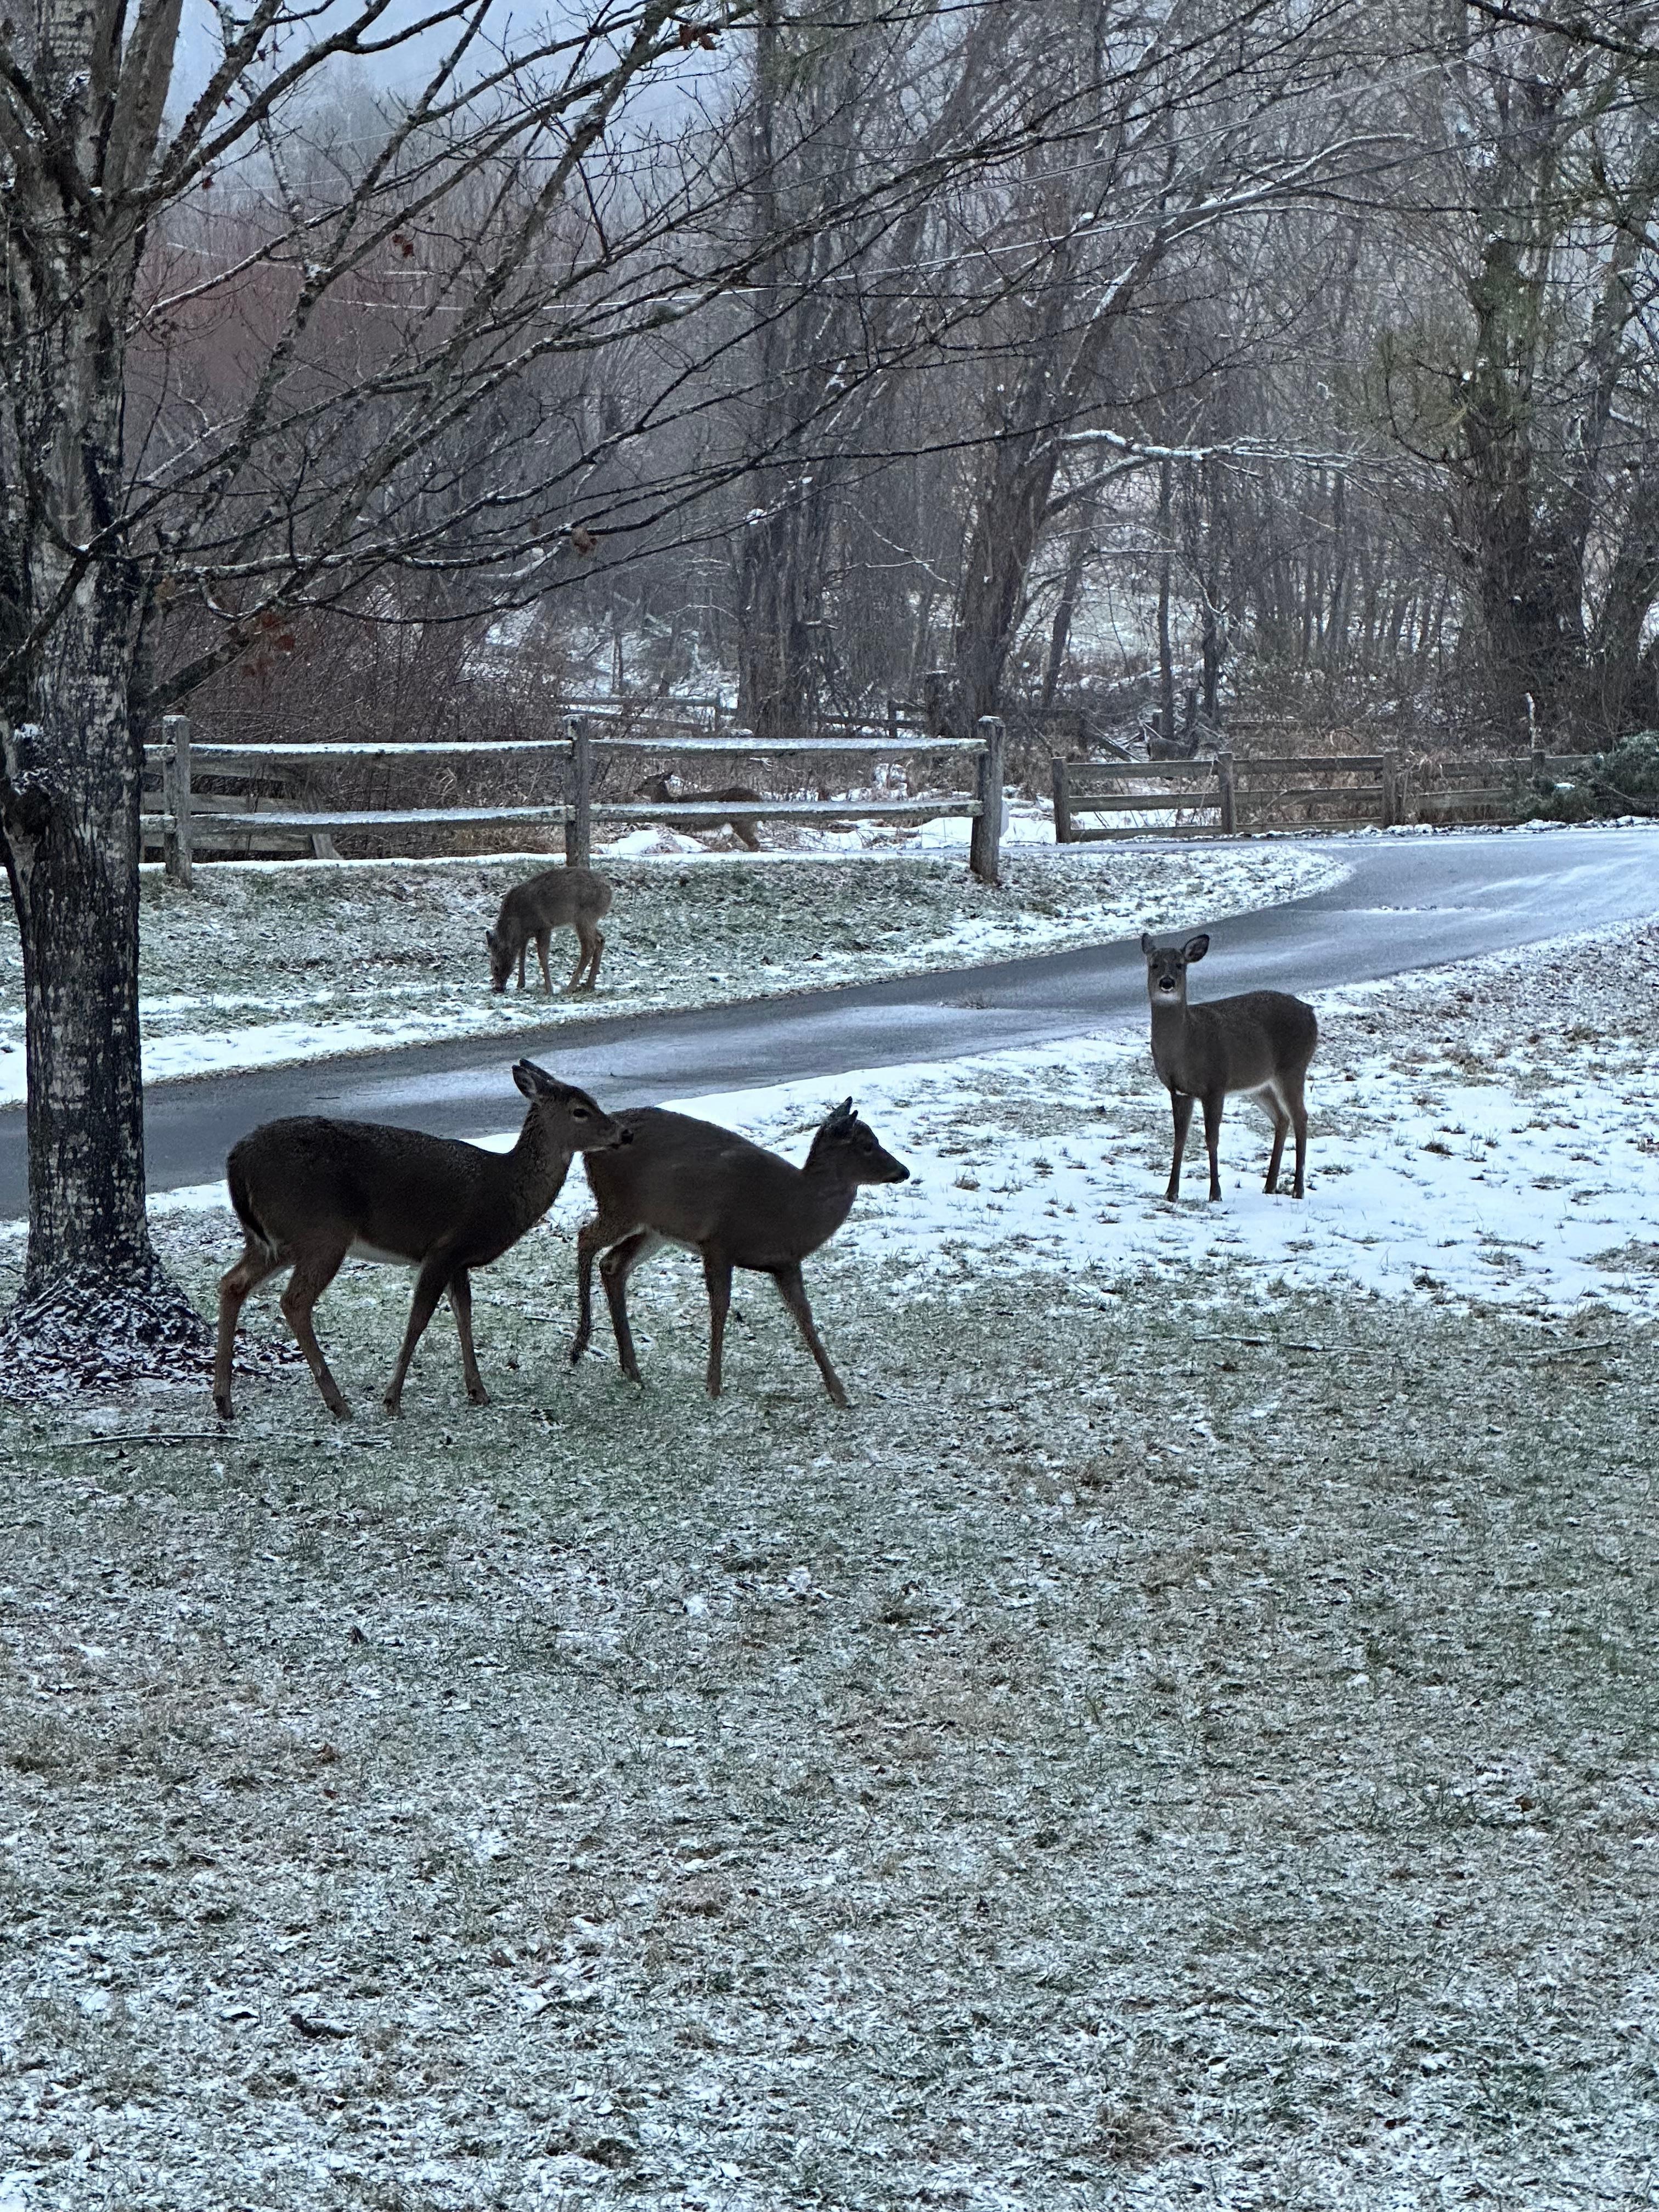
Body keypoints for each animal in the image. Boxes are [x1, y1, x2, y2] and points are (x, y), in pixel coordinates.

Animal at [213, 1061, 626, 1422]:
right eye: (580, 1110)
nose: (624, 1133)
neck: (504, 1192)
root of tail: (236, 1160)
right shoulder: (444, 1248)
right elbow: (419, 1318)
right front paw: (392, 1399)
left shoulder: (459, 1260)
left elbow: (464, 1313)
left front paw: (478, 1390)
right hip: (321, 1231)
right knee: (294, 1301)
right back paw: (338, 1403)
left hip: (272, 1240)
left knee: (232, 1283)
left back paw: (224, 1400)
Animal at [486, 865, 612, 995]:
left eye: (495, 967)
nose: (499, 988)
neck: (517, 922)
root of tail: (610, 893)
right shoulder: (526, 935)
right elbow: (522, 955)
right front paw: (521, 984)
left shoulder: (544, 927)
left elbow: (542, 956)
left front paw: (549, 989)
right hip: (589, 920)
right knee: (601, 939)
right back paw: (589, 985)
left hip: (584, 917)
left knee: (589, 947)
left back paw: (570, 987)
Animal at [568, 1098, 909, 1407]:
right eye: (867, 1145)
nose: (903, 1171)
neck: (796, 1209)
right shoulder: (719, 1243)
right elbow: (720, 1308)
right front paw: (714, 1386)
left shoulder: (786, 1262)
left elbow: (805, 1317)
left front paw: (839, 1393)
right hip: (621, 1205)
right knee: (585, 1239)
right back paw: (580, 1346)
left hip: (654, 1228)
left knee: (613, 1264)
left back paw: (631, 1368)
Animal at [1140, 932, 1317, 1202]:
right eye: (1154, 964)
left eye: (1180, 965)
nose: (1167, 983)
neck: (1186, 1045)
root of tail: (1311, 1014)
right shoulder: (1179, 1090)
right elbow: (1180, 1139)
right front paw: (1171, 1192)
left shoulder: (1215, 1085)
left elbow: (1212, 1139)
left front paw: (1215, 1194)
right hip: (1260, 1085)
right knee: (1282, 1118)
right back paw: (1269, 1186)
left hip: (1293, 1067)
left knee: (1301, 1117)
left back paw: (1298, 1189)